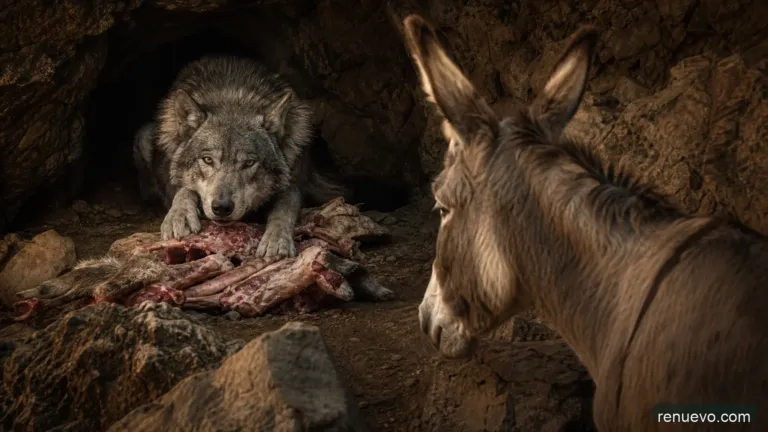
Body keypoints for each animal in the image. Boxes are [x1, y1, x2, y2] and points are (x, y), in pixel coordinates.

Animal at [133, 55, 347, 260]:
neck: (234, 98)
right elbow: (185, 190)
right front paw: (180, 215)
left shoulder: (294, 184)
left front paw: (277, 240)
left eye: (249, 163)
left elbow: (285, 207)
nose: (222, 207)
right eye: (208, 160)